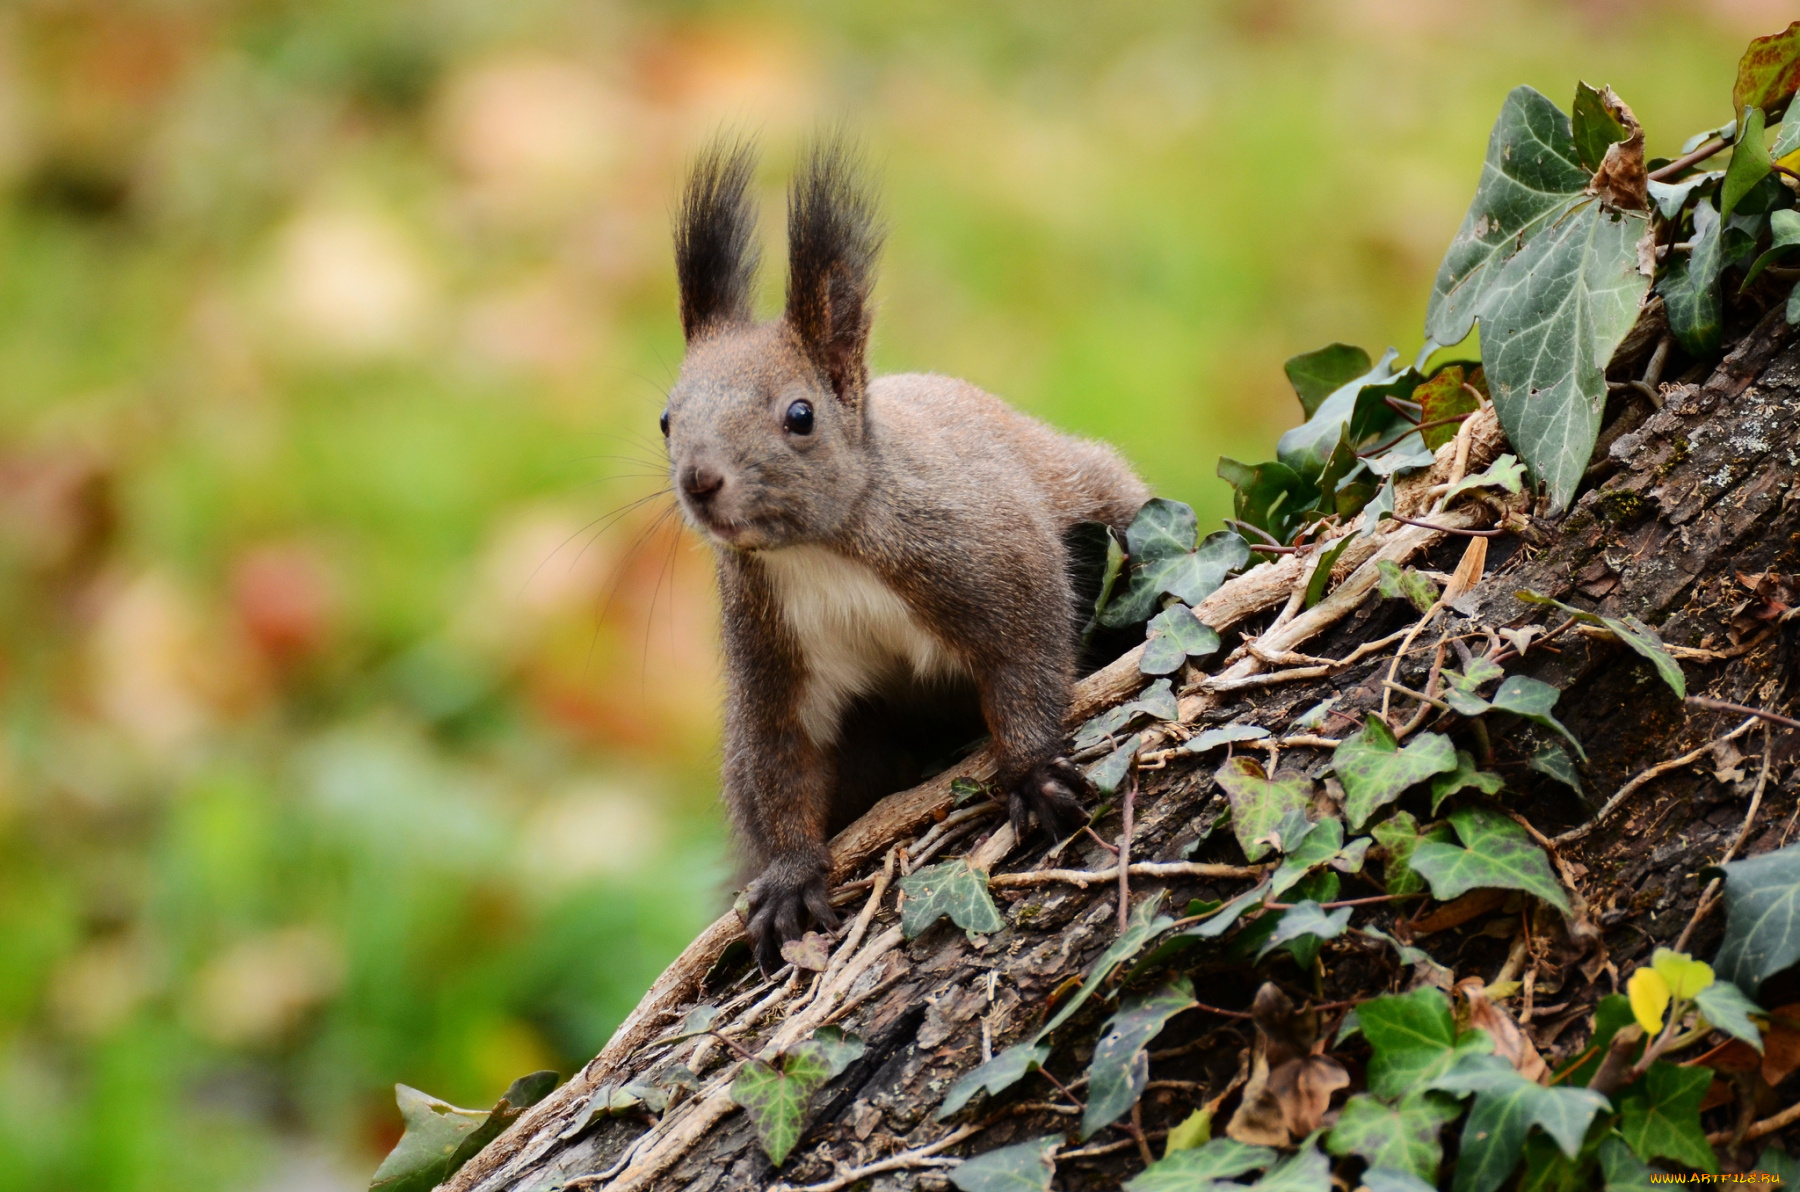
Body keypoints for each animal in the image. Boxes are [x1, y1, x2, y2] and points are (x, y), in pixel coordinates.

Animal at [666, 137, 1152, 972]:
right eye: (666, 419)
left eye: (801, 415)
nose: (699, 481)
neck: (818, 554)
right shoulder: (770, 647)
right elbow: (780, 759)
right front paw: (790, 877)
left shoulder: (981, 549)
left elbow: (1024, 651)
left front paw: (1032, 772)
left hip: (1094, 498)